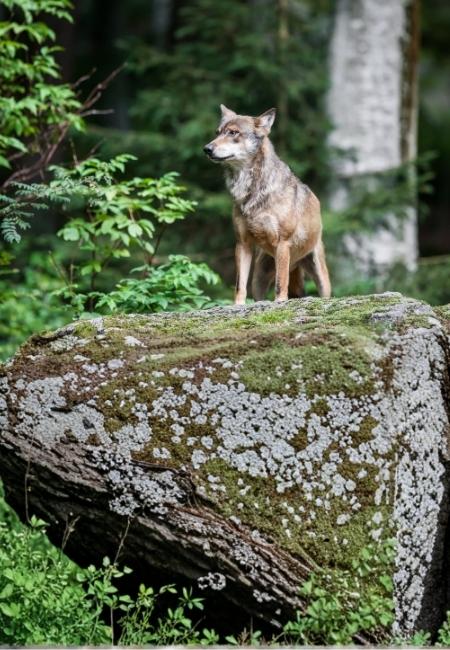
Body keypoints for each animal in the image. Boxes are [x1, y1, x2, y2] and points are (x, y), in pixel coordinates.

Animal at [204, 105, 331, 304]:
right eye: (217, 133)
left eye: (233, 132)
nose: (207, 149)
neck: (250, 191)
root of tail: (295, 263)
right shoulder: (242, 244)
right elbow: (239, 285)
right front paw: (237, 306)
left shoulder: (283, 243)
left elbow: (280, 283)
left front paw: (280, 302)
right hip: (258, 278)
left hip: (321, 278)